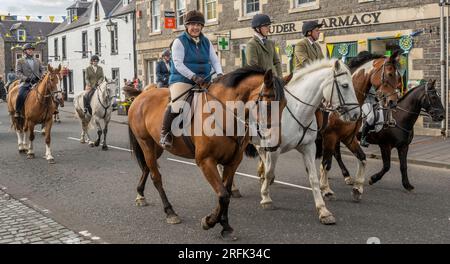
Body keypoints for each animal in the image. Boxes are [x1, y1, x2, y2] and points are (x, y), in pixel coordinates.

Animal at [126, 67, 288, 240]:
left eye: (284, 105)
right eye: (269, 104)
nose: (275, 143)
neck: (223, 115)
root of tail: (142, 95)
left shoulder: (232, 162)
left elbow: (225, 193)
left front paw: (224, 225)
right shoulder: (206, 161)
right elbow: (223, 195)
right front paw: (210, 222)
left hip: (157, 147)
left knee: (146, 168)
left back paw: (140, 195)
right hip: (146, 144)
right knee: (156, 177)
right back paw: (170, 212)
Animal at [241, 59, 360, 225]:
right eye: (345, 85)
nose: (356, 114)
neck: (298, 111)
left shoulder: (308, 147)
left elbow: (314, 178)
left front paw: (323, 211)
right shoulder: (275, 149)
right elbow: (270, 171)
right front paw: (266, 198)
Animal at [314, 51, 402, 200]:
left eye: (398, 76)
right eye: (390, 74)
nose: (393, 102)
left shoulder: (348, 137)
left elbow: (362, 158)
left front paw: (358, 187)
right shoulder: (330, 136)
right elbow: (326, 163)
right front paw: (325, 189)